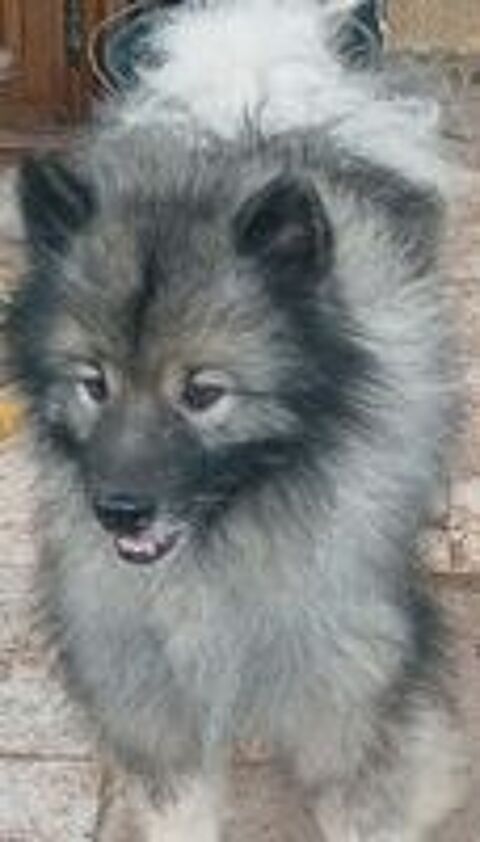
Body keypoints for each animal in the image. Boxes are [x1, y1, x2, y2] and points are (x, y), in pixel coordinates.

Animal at [8, 1, 466, 840]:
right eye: (94, 384)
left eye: (202, 393)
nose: (119, 511)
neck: (224, 542)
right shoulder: (153, 706)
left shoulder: (356, 701)